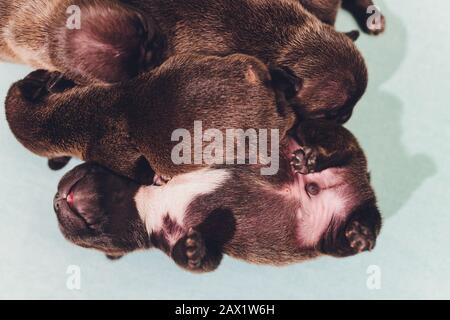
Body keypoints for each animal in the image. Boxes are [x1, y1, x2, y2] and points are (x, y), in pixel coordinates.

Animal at [5, 53, 300, 184]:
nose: (43, 71)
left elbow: (141, 174)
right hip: (243, 62)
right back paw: (285, 78)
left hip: (261, 130)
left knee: (287, 120)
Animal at [53, 120, 384, 272]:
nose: (55, 201)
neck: (144, 201)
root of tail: (362, 184)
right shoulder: (170, 236)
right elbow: (203, 260)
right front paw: (191, 250)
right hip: (328, 238)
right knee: (357, 229)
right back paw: (359, 233)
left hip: (319, 132)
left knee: (338, 145)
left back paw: (314, 159)